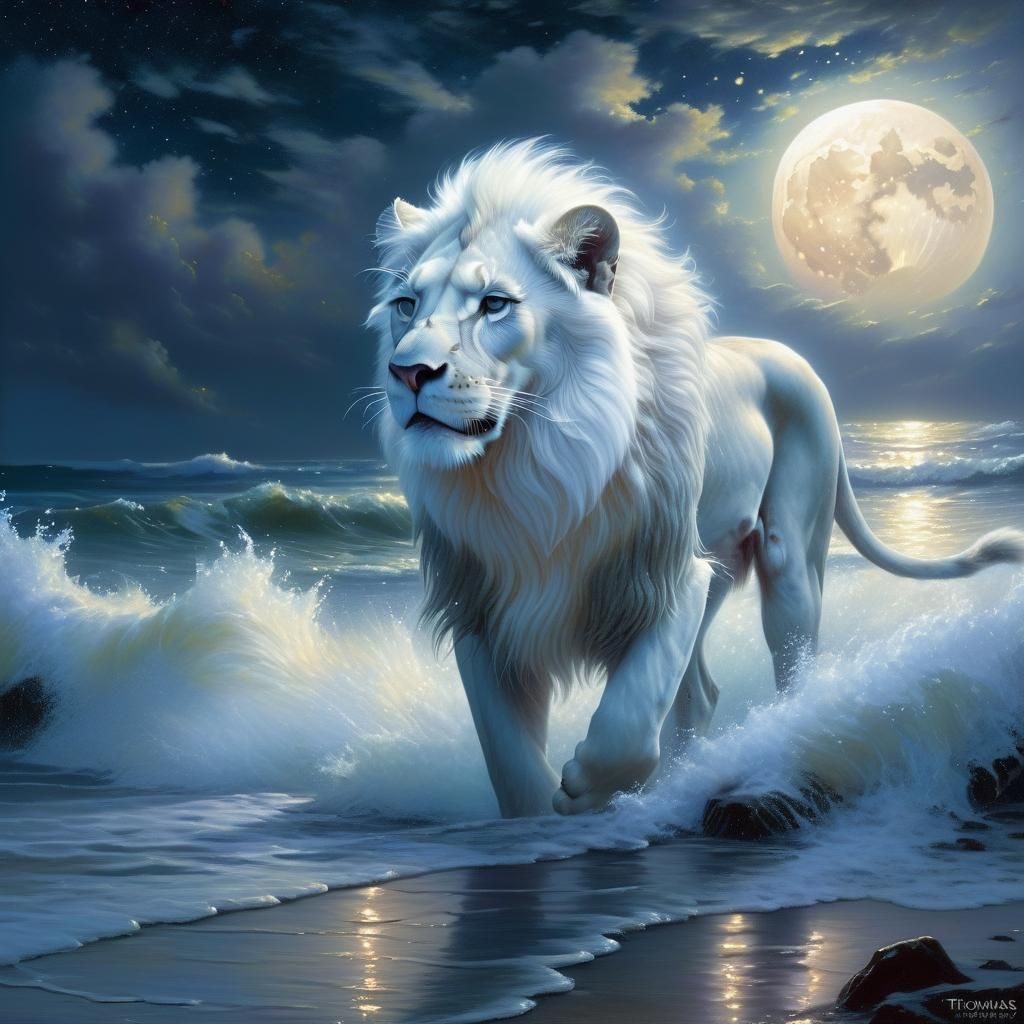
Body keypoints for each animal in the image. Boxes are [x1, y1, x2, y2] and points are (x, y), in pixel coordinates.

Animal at [366, 141, 1024, 818]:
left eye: (495, 303)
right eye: (407, 305)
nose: (408, 372)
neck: (531, 466)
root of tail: (798, 361)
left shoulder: (672, 575)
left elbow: (630, 718)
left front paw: (587, 788)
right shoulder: (478, 607)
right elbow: (509, 761)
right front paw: (543, 814)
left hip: (789, 556)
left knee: (793, 669)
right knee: (701, 693)